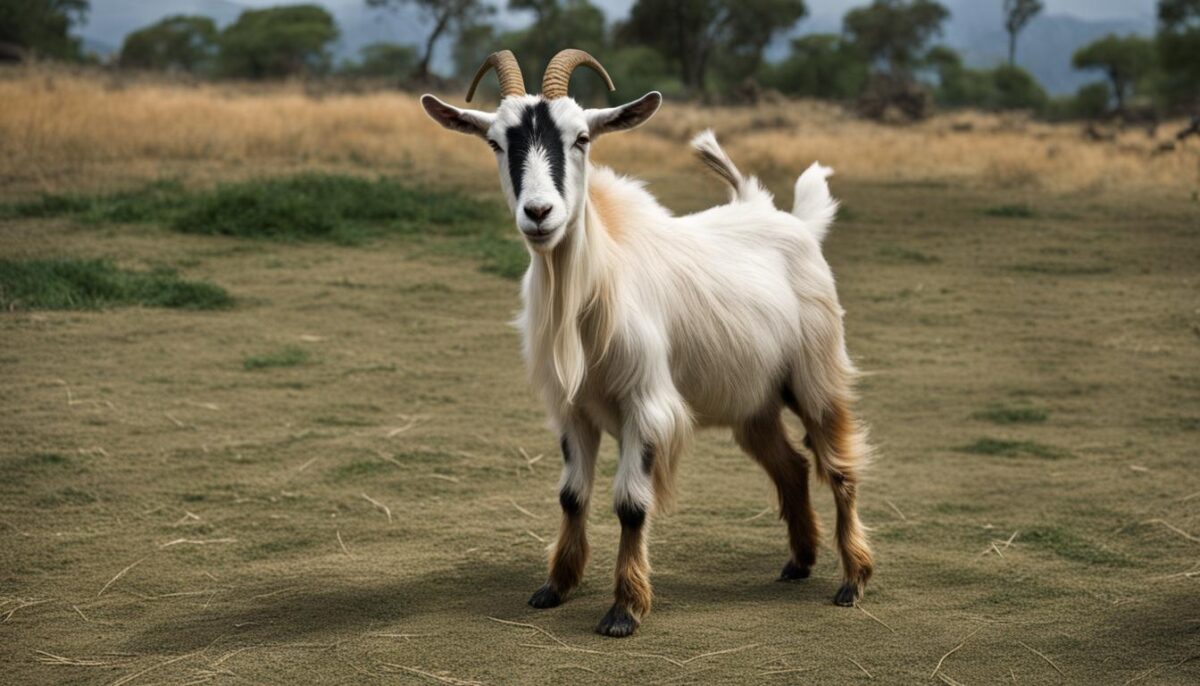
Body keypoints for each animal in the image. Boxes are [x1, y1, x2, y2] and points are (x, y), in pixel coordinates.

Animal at [422, 49, 874, 638]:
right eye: (496, 142)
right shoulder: (572, 409)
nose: (539, 213)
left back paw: (853, 581)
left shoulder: (647, 404)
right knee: (792, 466)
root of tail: (796, 223)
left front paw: (625, 609)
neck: (594, 289)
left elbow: (631, 504)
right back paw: (799, 561)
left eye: (581, 138)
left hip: (816, 375)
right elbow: (571, 495)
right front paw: (556, 586)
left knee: (839, 466)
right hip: (752, 402)